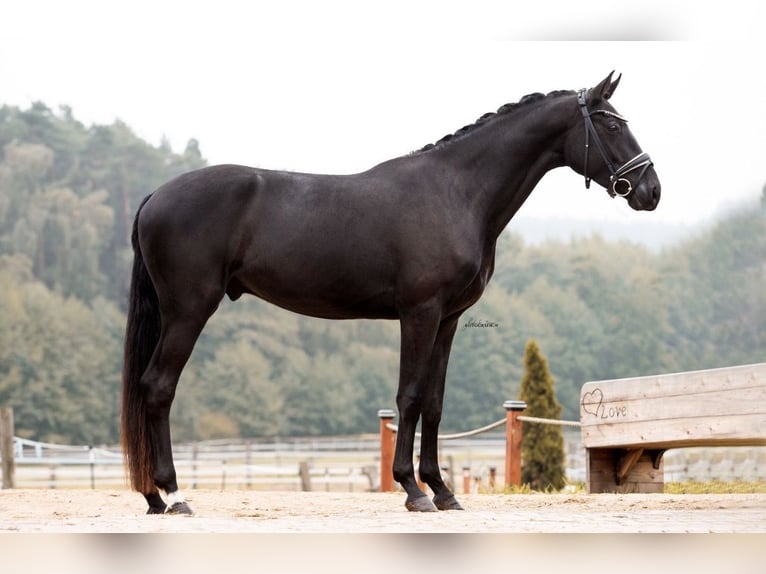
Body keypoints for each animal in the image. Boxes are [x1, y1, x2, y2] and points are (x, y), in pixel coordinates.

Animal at [121, 72, 660, 514]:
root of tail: (155, 196)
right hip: (189, 310)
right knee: (158, 387)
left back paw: (152, 497)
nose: (650, 190)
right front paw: (413, 490)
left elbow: (435, 402)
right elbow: (410, 396)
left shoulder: (448, 320)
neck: (456, 191)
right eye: (611, 125)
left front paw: (443, 490)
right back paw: (173, 495)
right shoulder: (419, 313)